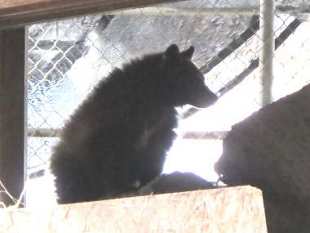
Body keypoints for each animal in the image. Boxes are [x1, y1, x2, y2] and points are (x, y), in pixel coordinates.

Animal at [50, 44, 218, 203]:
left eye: (201, 78)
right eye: (195, 79)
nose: (214, 97)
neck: (155, 99)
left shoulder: (161, 126)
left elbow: (156, 151)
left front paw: (150, 180)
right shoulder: (111, 125)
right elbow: (112, 157)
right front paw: (121, 189)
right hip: (71, 163)